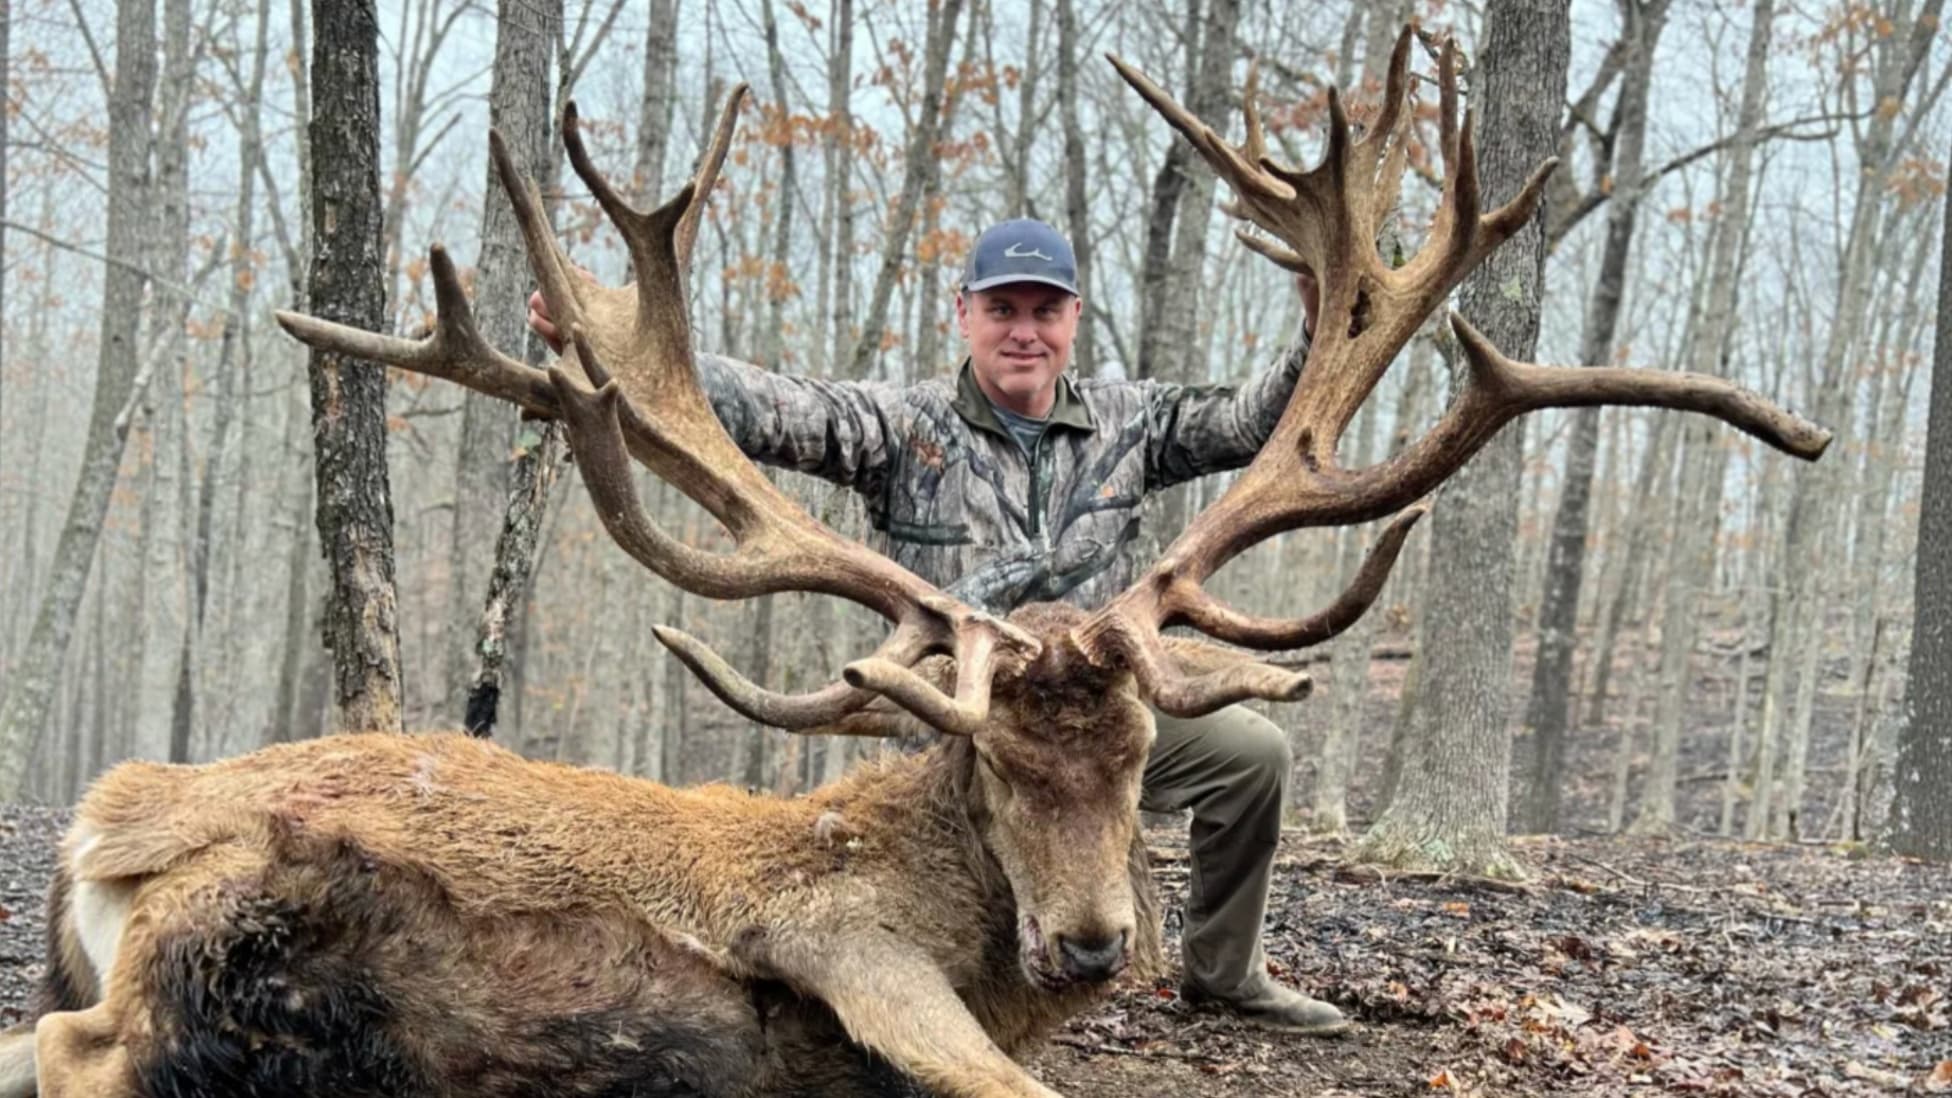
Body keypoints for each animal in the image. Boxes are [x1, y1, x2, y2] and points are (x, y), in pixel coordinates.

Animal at [0, 28, 1829, 1098]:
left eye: (1142, 752)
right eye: (995, 763)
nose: (1091, 943)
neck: (951, 905)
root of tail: (107, 816)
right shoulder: (846, 945)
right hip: (236, 960)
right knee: (75, 1047)